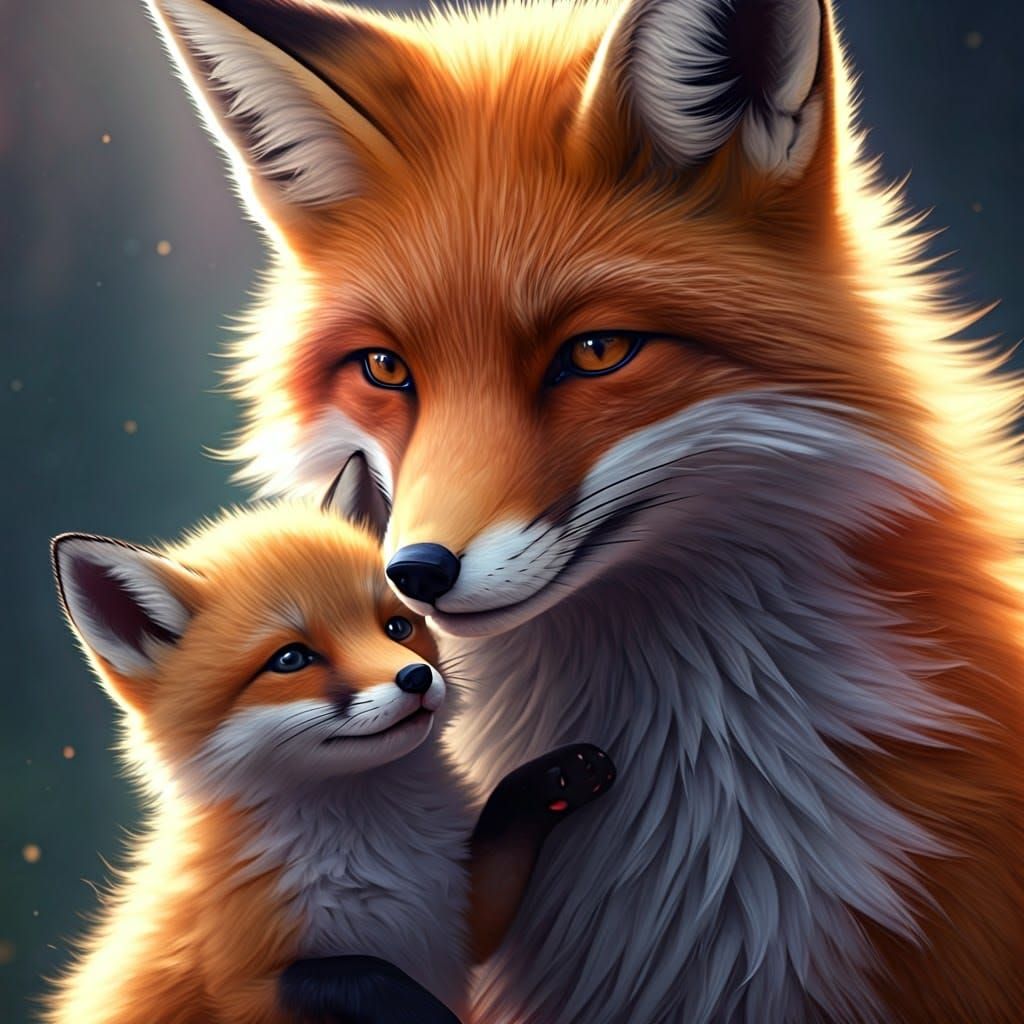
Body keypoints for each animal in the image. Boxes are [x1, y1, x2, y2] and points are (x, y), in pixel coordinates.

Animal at [45, 453, 615, 1024]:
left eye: (397, 627)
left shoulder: (454, 919)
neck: (381, 858)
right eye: (291, 659)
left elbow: (501, 825)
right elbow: (352, 974)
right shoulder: (240, 991)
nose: (417, 678)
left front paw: (561, 775)